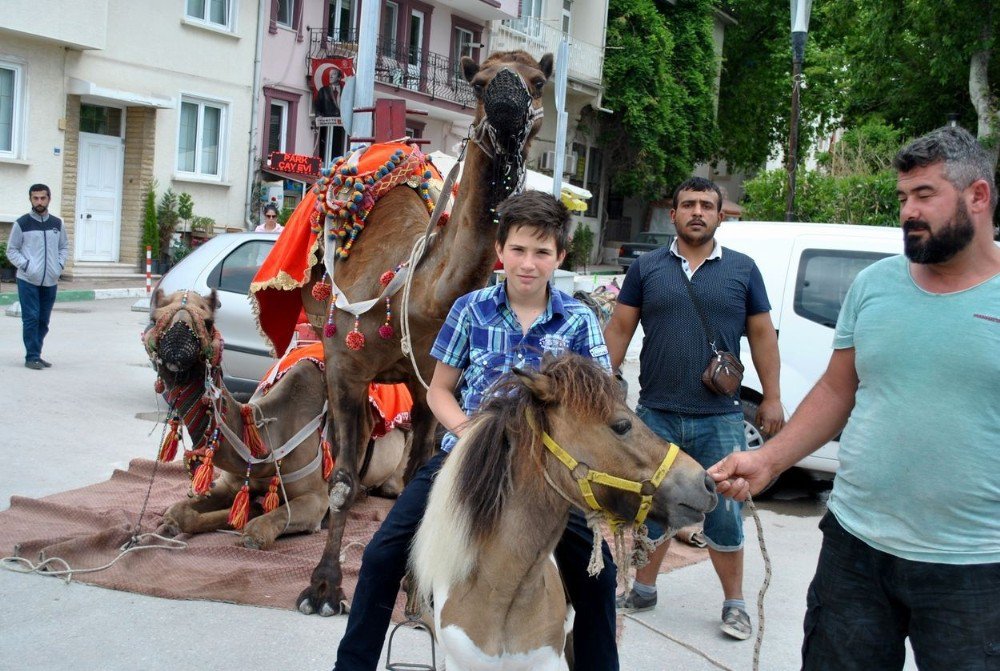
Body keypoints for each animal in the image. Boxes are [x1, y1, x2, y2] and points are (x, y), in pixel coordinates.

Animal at [143, 292, 408, 548]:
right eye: (154, 320)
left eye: (208, 323)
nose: (176, 345)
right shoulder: (231, 484)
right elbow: (178, 512)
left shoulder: (315, 498)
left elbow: (259, 528)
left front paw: (253, 531)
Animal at [286, 51, 560, 620]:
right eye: (479, 83)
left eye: (536, 82)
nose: (505, 108)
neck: (415, 293)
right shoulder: (345, 364)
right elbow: (342, 479)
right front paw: (322, 589)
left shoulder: (433, 380)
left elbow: (423, 474)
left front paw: (416, 594)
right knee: (341, 443)